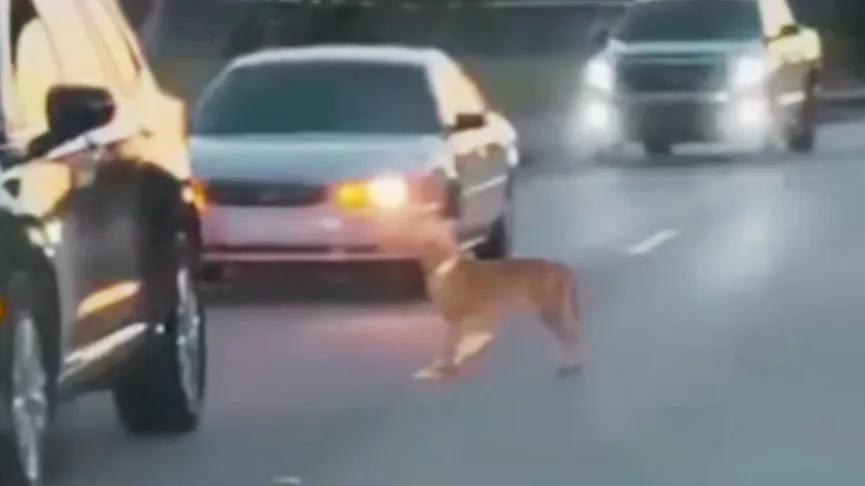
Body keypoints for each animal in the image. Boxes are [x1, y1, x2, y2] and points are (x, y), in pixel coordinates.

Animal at [368, 211, 584, 382]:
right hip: (557, 310)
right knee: (574, 334)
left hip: (550, 312)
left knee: (569, 337)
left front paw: (446, 368)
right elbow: (452, 344)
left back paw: (570, 366)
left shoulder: (453, 318)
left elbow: (448, 346)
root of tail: (558, 265)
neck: (442, 263)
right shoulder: (458, 321)